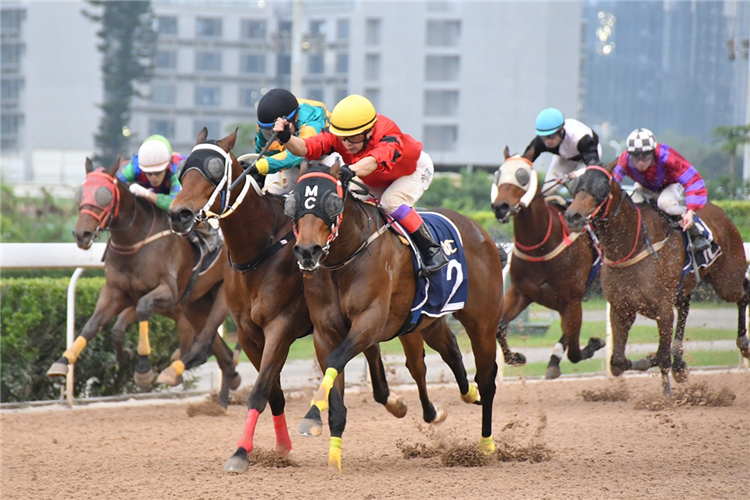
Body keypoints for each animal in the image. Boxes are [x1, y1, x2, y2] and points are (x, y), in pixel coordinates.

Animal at [46, 158, 241, 408]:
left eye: (105, 196)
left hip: (221, 297)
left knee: (205, 340)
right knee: (223, 354)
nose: (82, 234)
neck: (135, 241)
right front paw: (63, 362)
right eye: (81, 193)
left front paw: (142, 369)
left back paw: (177, 371)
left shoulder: (168, 293)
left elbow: (142, 309)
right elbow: (97, 326)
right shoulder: (116, 292)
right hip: (196, 305)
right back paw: (222, 399)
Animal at [167, 129, 462, 472]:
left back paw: (433, 409)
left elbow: (260, 390)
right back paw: (394, 402)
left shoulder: (280, 327)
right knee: (376, 361)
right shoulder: (249, 333)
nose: (179, 215)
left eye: (215, 172)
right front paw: (280, 447)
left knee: (419, 363)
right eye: (183, 171)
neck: (260, 250)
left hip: (414, 322)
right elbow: (273, 392)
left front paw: (241, 453)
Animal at [290, 158, 516, 470]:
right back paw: (465, 395)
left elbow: (337, 359)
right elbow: (334, 381)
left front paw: (311, 416)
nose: (307, 251)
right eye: (293, 201)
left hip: (481, 322)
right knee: (446, 352)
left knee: (486, 377)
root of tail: (482, 232)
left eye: (332, 202)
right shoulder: (325, 333)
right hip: (427, 320)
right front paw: (332, 456)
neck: (346, 257)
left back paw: (486, 446)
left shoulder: (370, 321)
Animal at [490, 150, 608, 376]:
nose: (500, 207)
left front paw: (594, 344)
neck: (540, 245)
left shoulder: (571, 301)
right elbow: (499, 328)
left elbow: (574, 351)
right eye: (498, 175)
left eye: (523, 176)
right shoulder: (521, 293)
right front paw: (515, 357)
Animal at [568, 166, 750, 392]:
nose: (572, 215)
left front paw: (667, 393)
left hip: (727, 281)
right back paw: (679, 363)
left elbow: (662, 356)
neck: (632, 245)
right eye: (576, 185)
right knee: (685, 306)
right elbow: (618, 362)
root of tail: (722, 213)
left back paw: (743, 343)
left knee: (743, 292)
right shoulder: (621, 309)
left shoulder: (662, 310)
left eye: (601, 186)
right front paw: (654, 361)